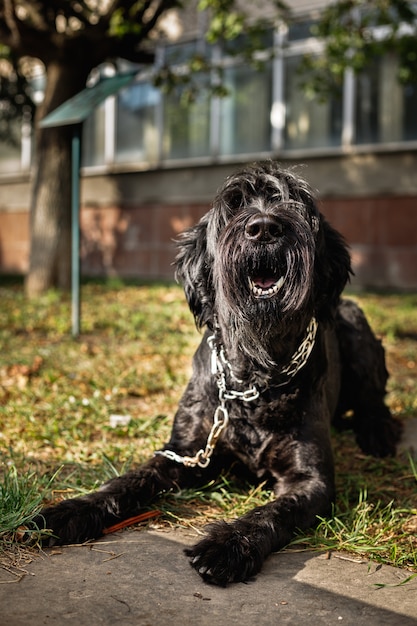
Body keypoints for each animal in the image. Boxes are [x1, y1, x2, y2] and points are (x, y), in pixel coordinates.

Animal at [33, 161, 400, 584]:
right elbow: (126, 481)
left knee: (375, 401)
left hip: (355, 324)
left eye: (296, 202)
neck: (253, 377)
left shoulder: (311, 479)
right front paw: (71, 510)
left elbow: (272, 512)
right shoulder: (184, 452)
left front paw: (229, 544)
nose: (264, 227)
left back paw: (377, 432)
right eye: (235, 205)